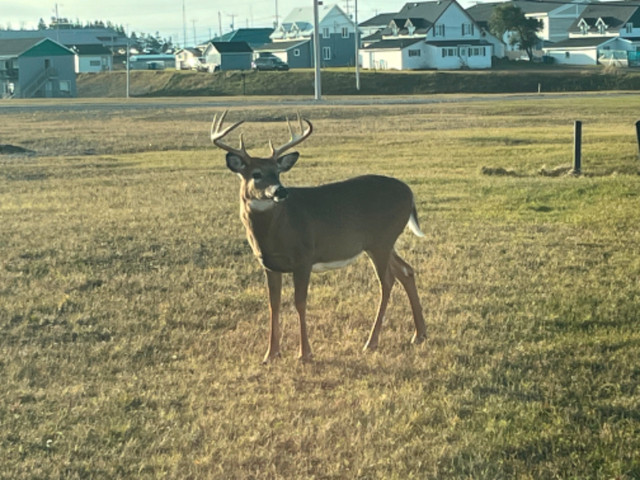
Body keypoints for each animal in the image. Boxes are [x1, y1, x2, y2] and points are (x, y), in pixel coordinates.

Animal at [212, 110, 428, 362]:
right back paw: (419, 334)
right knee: (406, 271)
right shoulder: (269, 264)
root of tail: (410, 193)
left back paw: (371, 341)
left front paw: (305, 353)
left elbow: (300, 302)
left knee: (387, 281)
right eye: (256, 174)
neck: (276, 230)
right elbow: (273, 304)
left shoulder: (304, 257)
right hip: (382, 242)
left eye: (277, 172)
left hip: (382, 240)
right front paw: (270, 354)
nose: (280, 191)